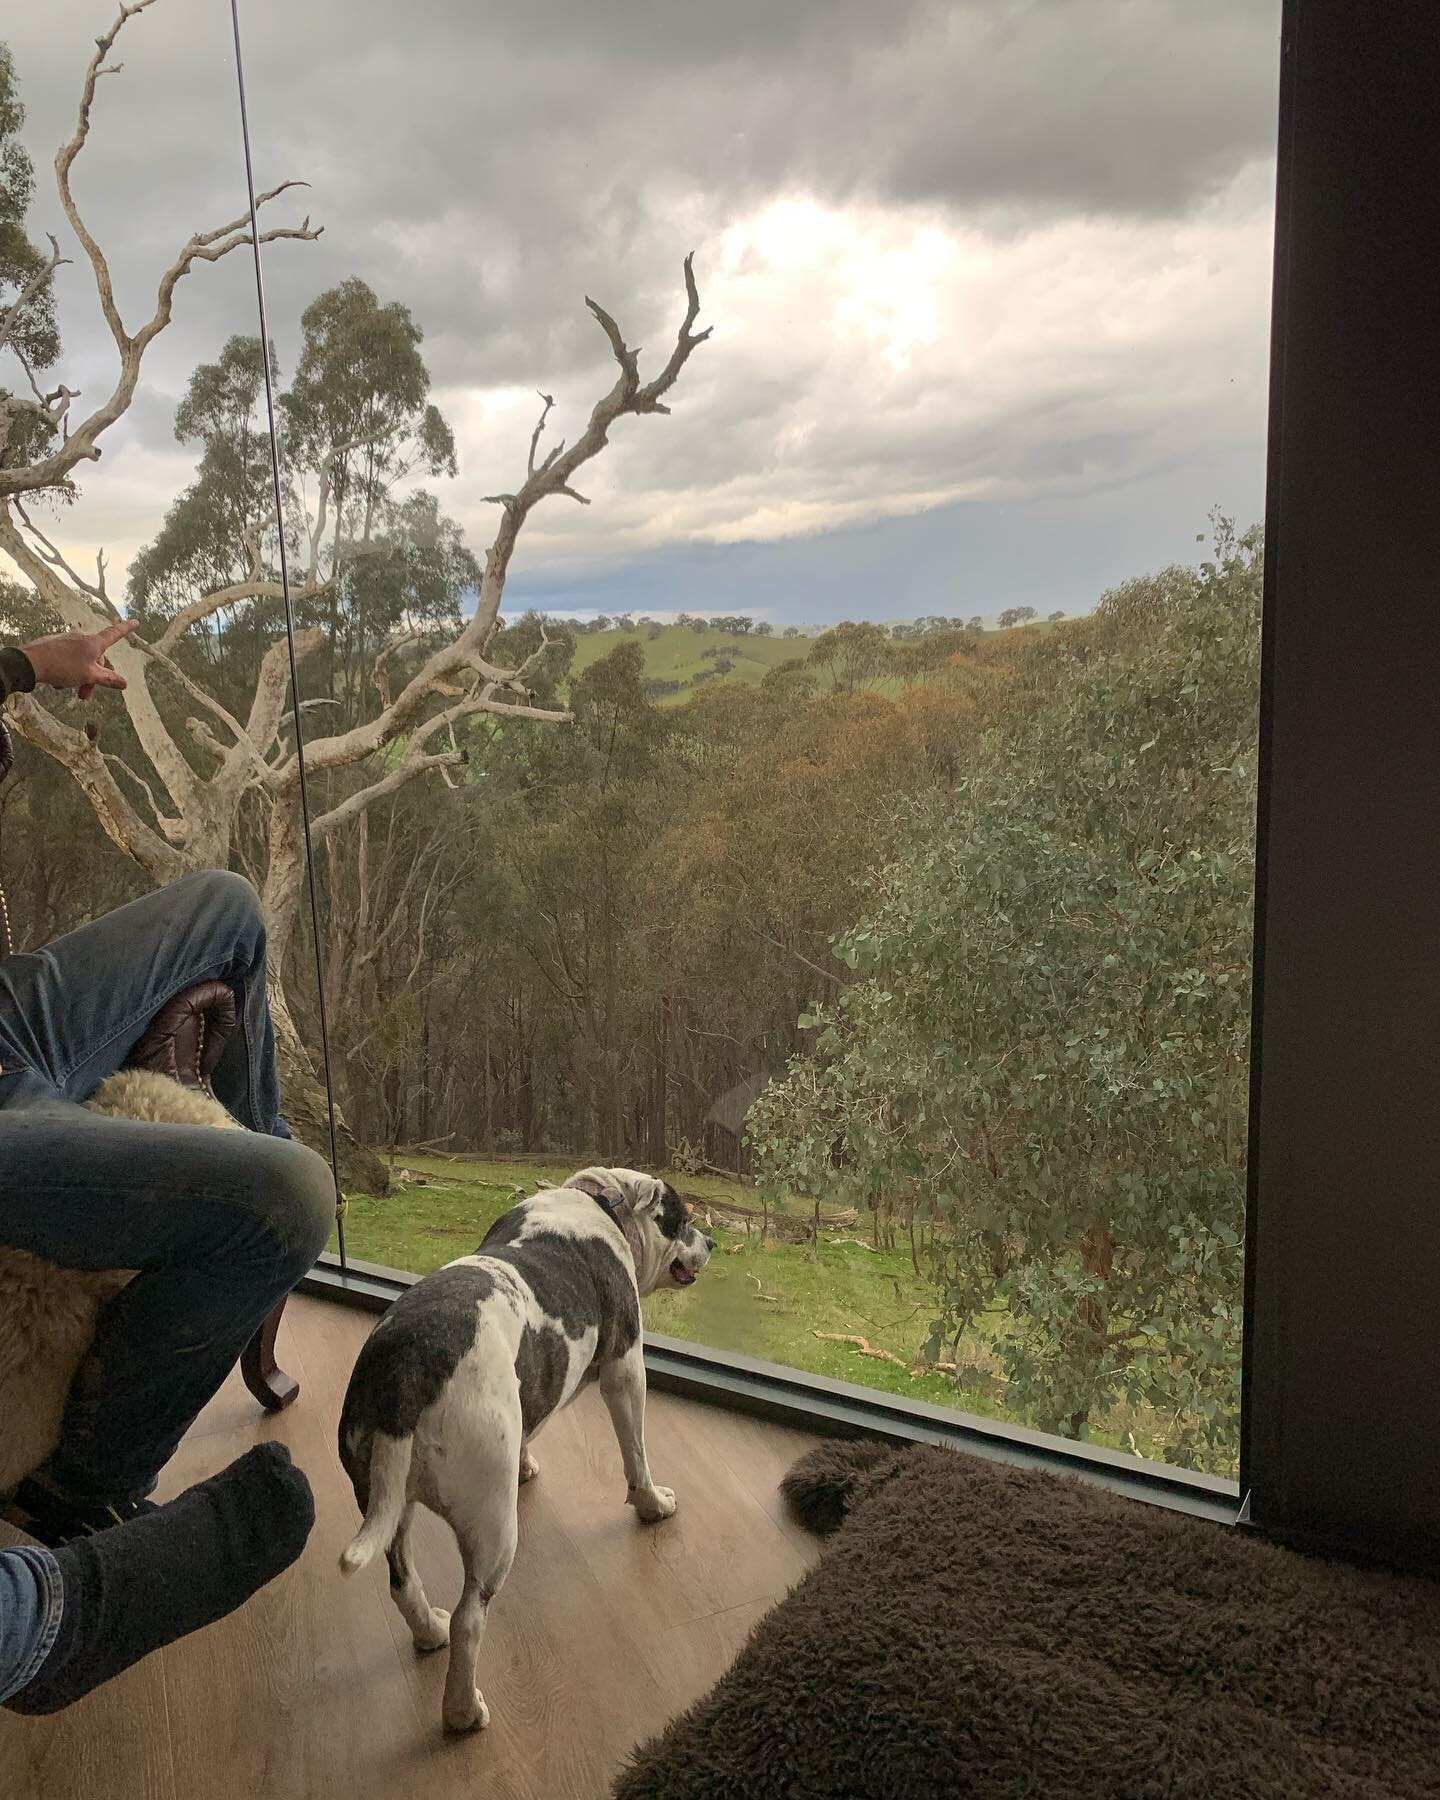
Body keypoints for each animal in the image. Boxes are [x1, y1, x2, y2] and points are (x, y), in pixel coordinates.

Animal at [338, 1166, 720, 1728]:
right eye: (681, 1219)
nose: (711, 1242)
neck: (605, 1205)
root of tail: (406, 1368)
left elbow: (530, 1425)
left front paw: (527, 1463)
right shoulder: (626, 1369)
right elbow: (636, 1454)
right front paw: (653, 1505)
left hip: (384, 1502)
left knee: (402, 1583)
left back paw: (428, 1633)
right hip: (494, 1526)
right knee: (470, 1618)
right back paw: (462, 1712)